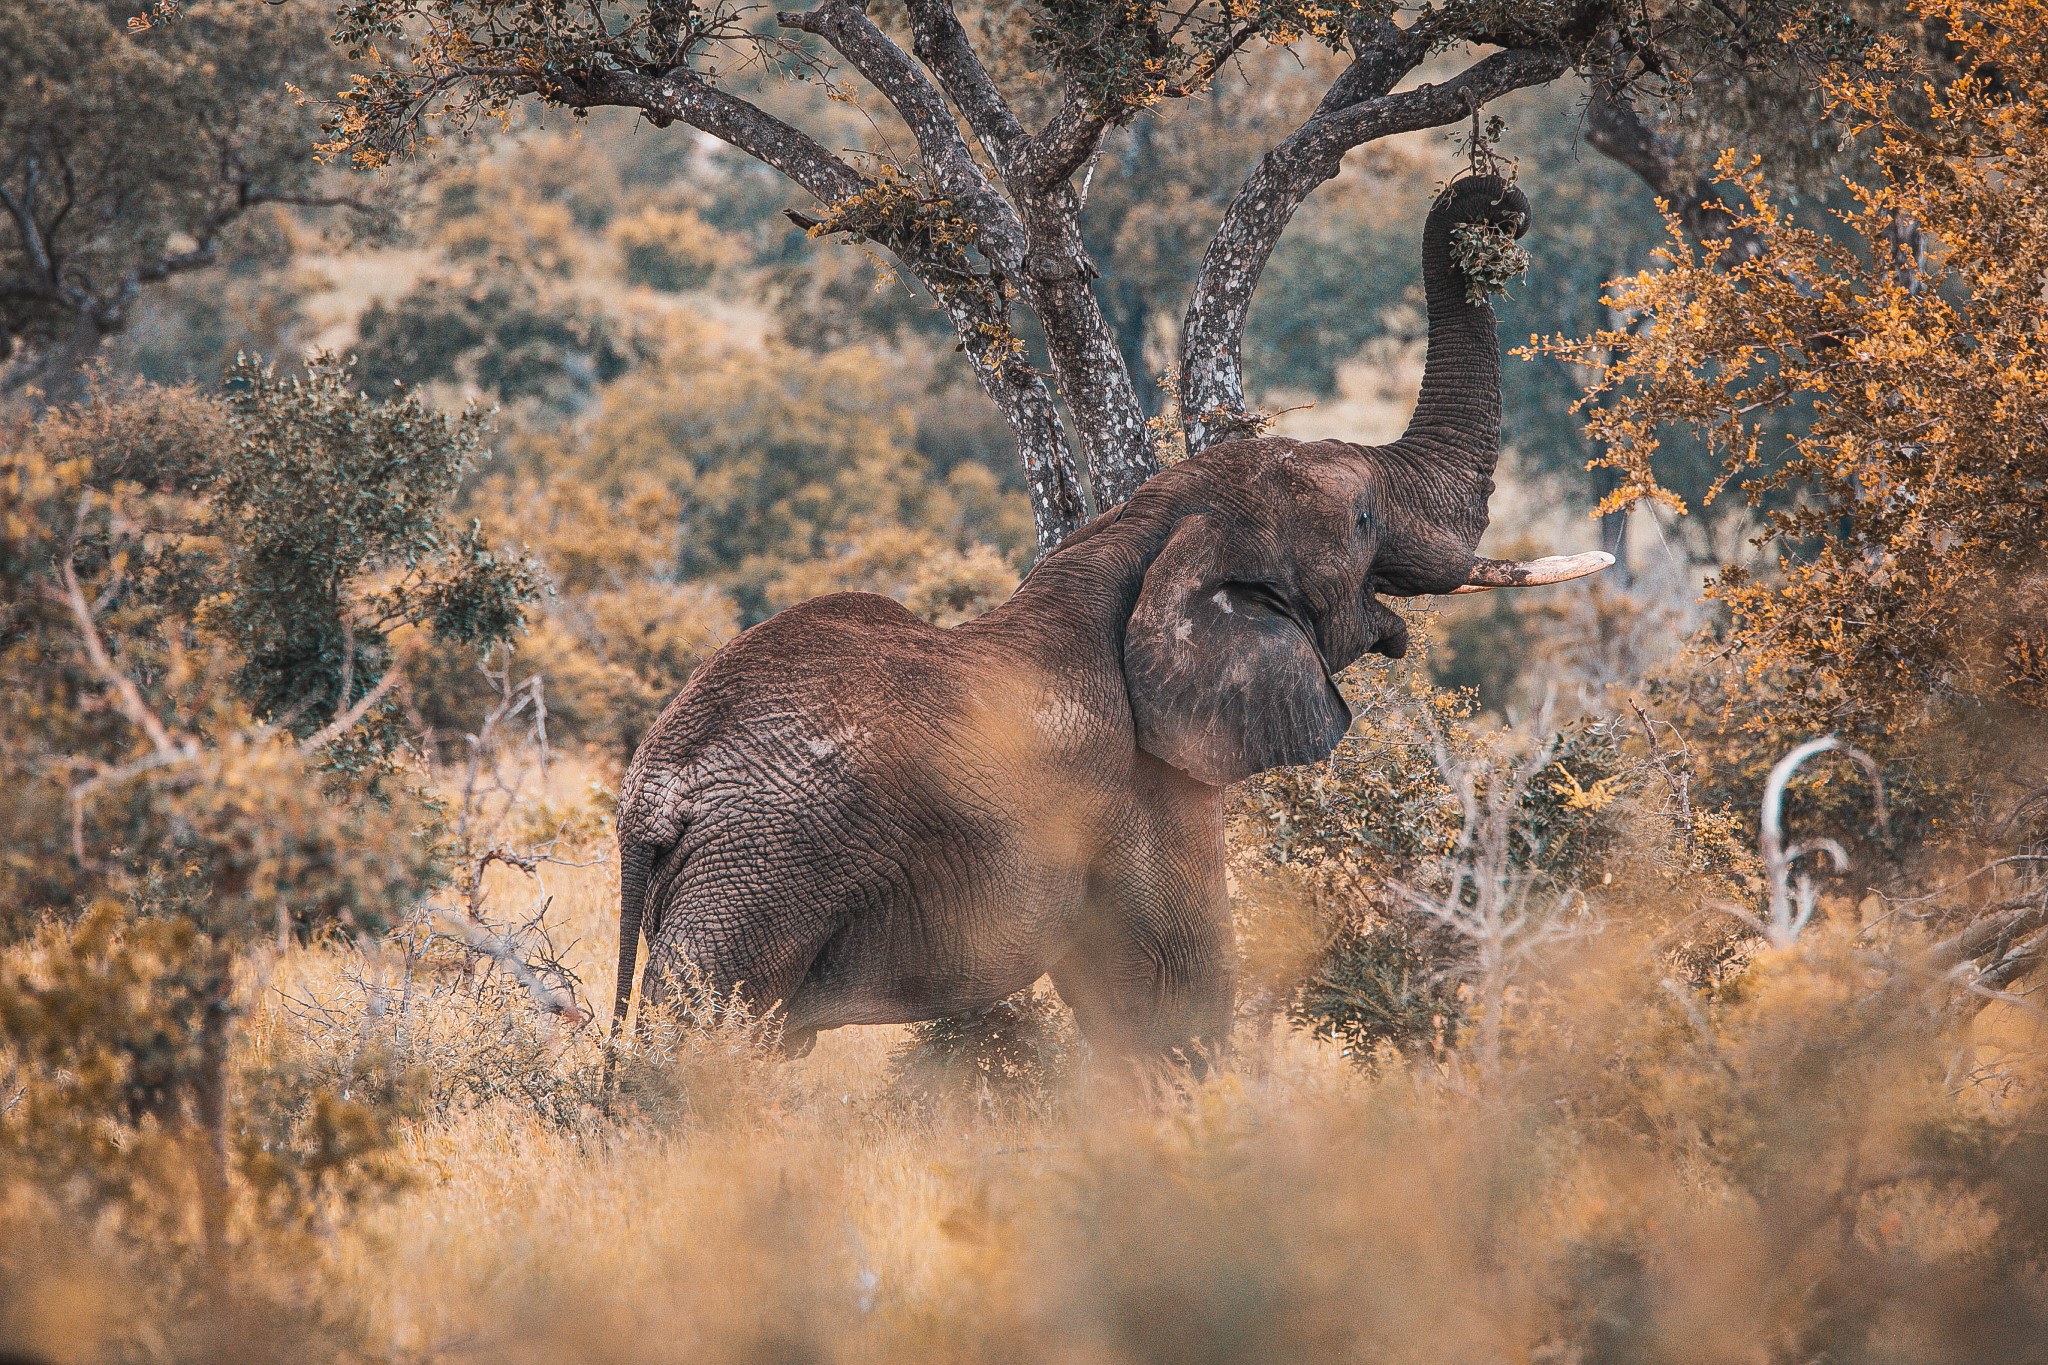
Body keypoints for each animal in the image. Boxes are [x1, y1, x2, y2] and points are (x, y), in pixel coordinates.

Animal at [606, 173, 1613, 1064]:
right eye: (1363, 519)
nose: (1501, 205)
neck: (1147, 535)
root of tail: (655, 790)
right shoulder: (1148, 783)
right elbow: (1175, 990)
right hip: (764, 869)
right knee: (701, 1044)